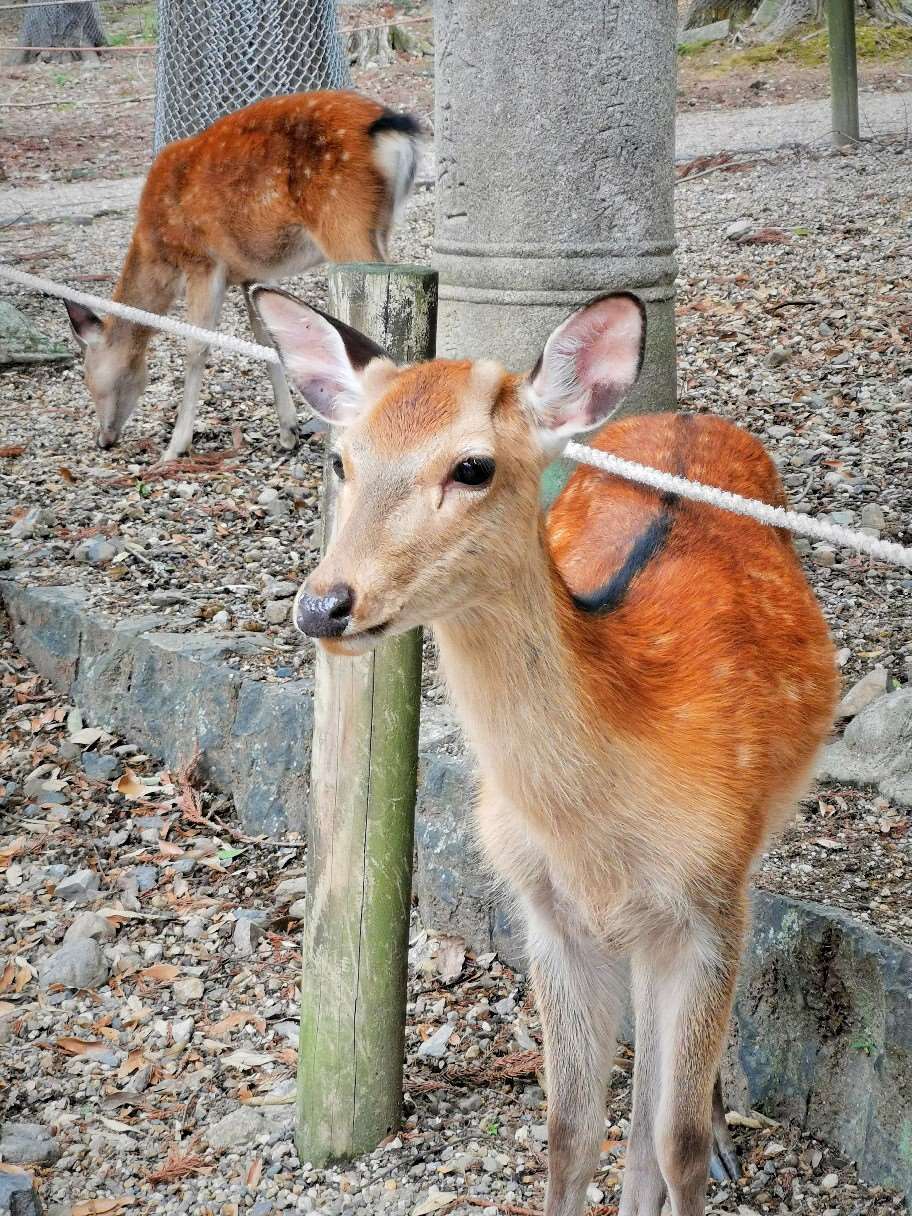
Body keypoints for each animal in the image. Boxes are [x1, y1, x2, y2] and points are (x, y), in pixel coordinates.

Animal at [63, 91, 421, 464]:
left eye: (91, 380)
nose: (103, 439)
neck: (159, 254)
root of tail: (392, 125)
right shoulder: (252, 271)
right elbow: (268, 337)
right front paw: (288, 432)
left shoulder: (202, 261)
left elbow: (196, 345)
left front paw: (175, 447)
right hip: (379, 227)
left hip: (344, 219)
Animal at [251, 285, 838, 1216]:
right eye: (341, 460)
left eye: (473, 467)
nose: (324, 605)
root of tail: (684, 412)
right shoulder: (546, 911)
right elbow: (569, 1131)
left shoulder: (710, 898)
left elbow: (673, 1140)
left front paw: (705, 1151)